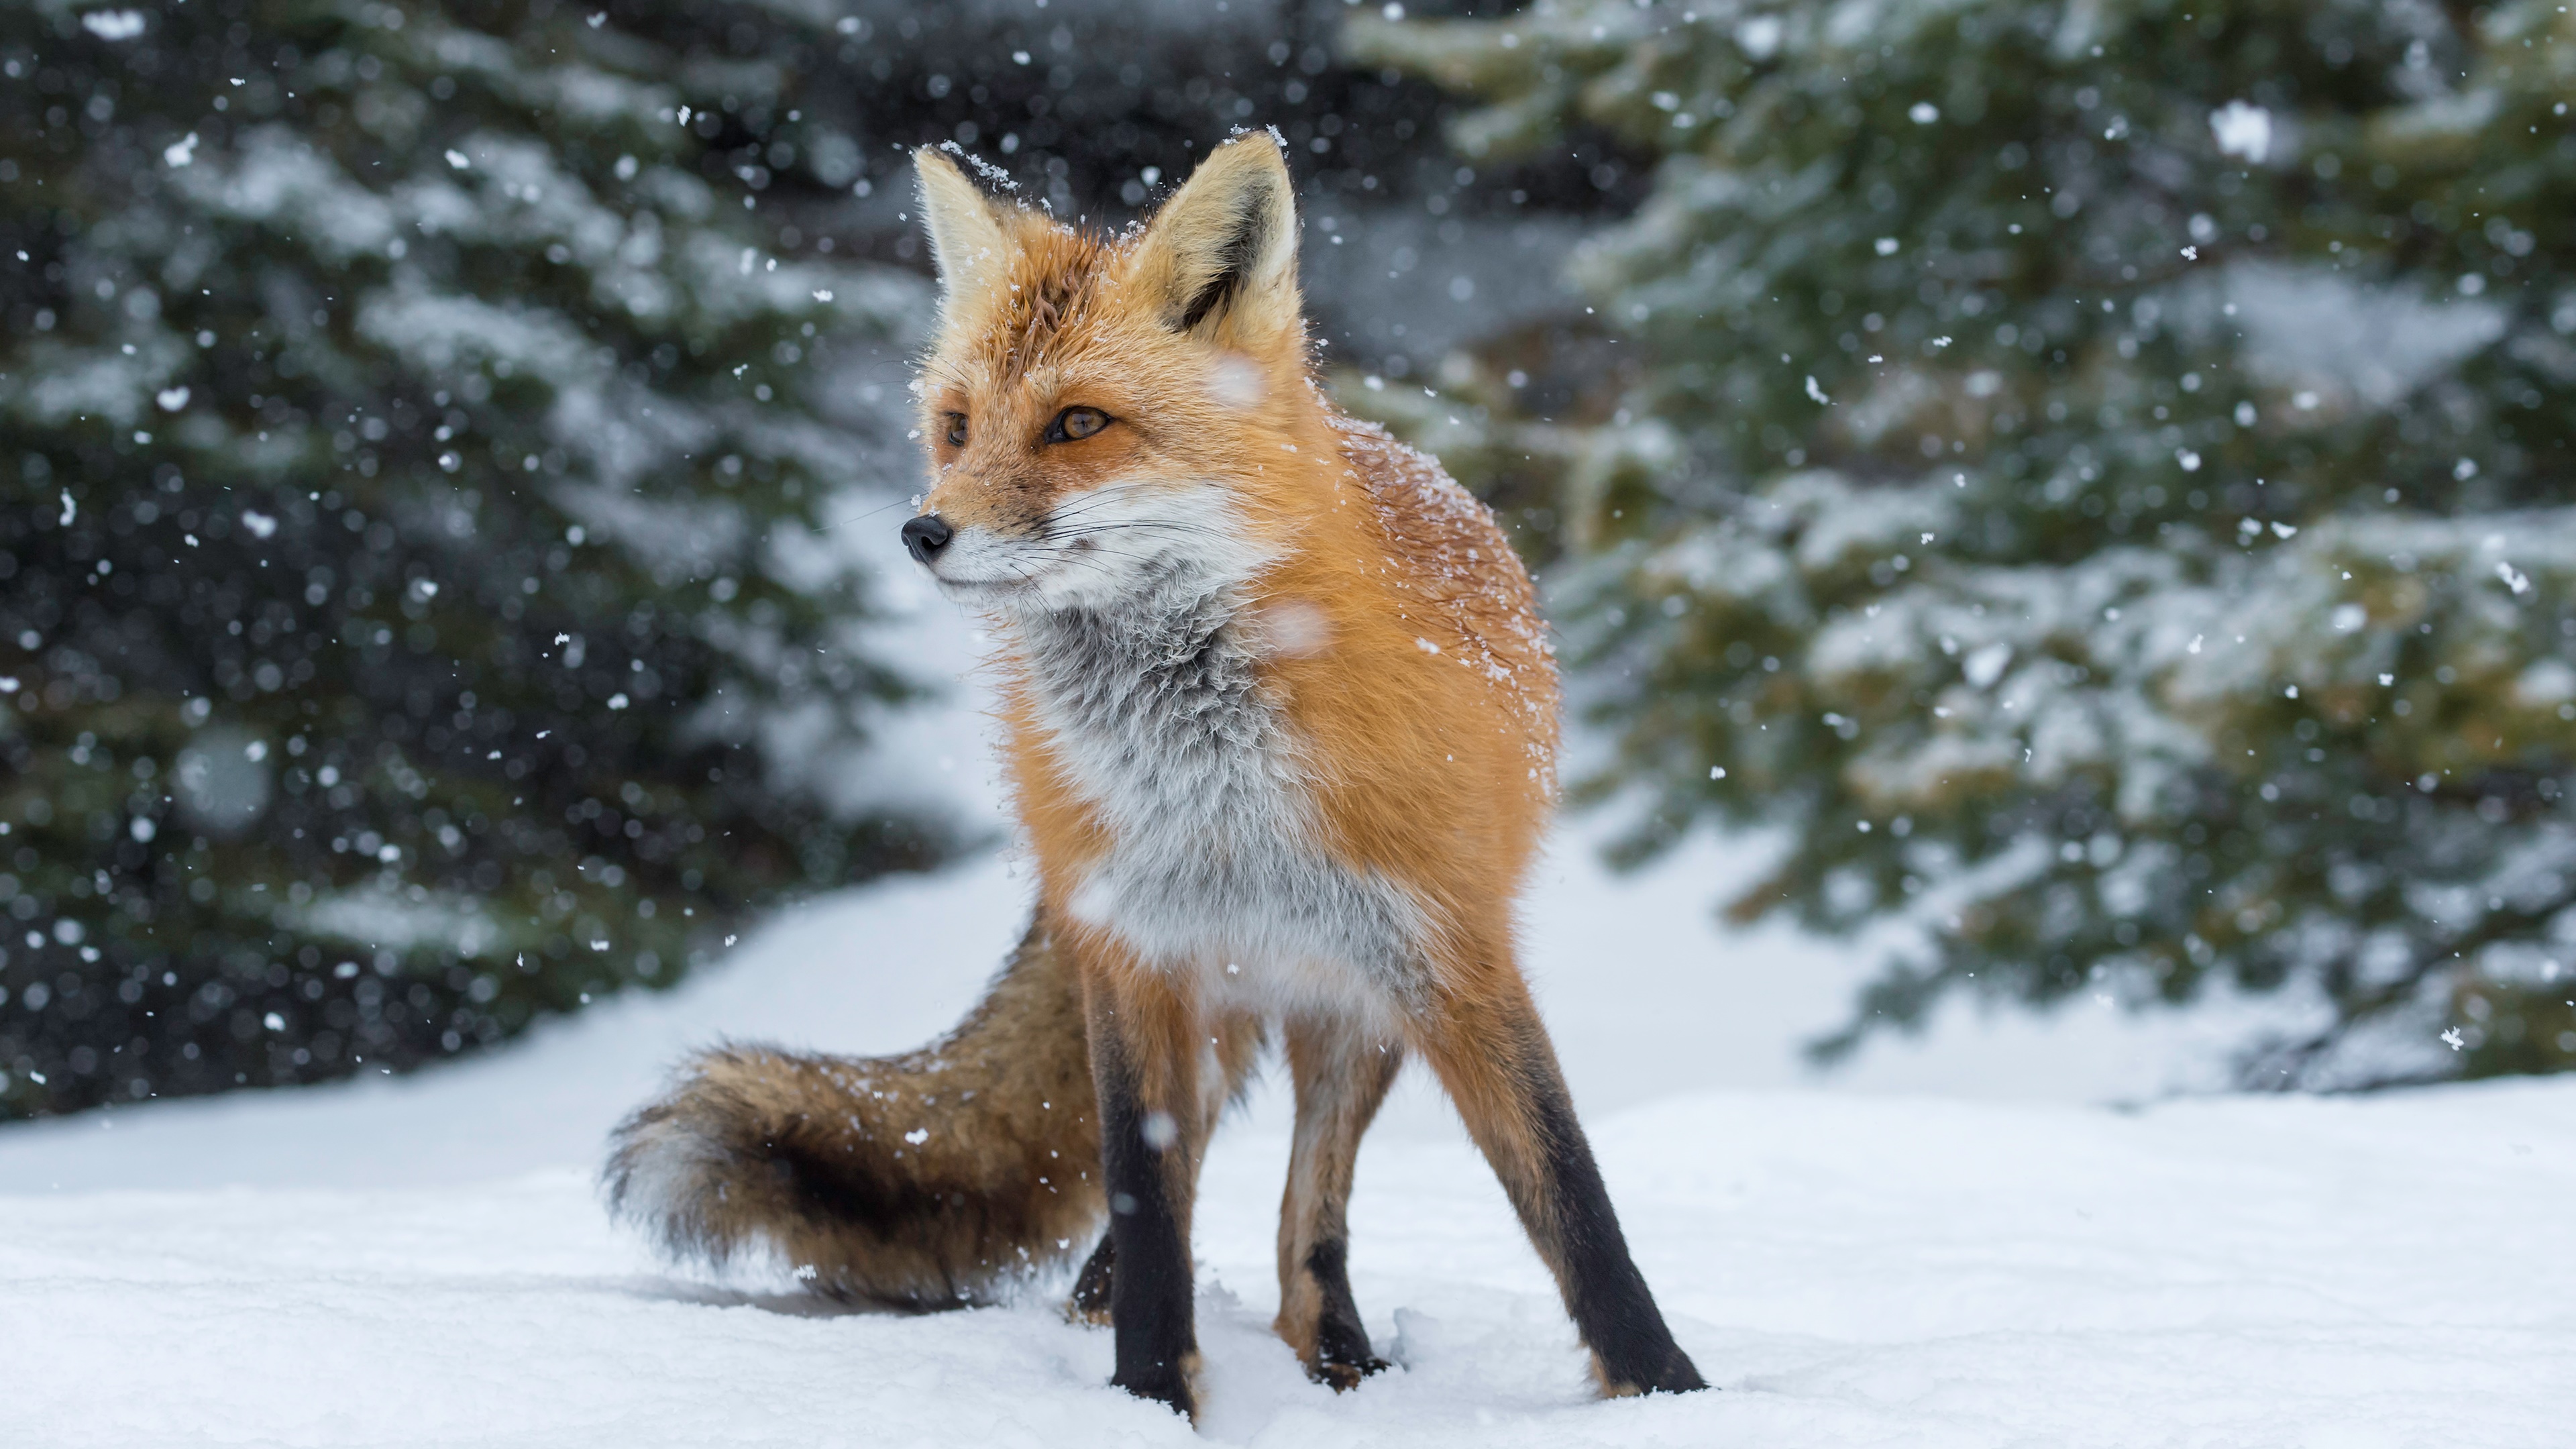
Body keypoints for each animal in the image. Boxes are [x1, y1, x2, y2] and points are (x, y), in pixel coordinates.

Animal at [605, 129, 1710, 1413]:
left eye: (1079, 424)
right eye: (957, 426)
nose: (922, 534)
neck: (1213, 791)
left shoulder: (1451, 953)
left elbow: (1571, 1196)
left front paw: (1670, 1390)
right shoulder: (1131, 954)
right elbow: (1144, 1195)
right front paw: (1149, 1395)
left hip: (1350, 1011)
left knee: (1309, 1216)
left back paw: (1339, 1356)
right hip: (1199, 997)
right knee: (1184, 1195)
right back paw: (1112, 1316)